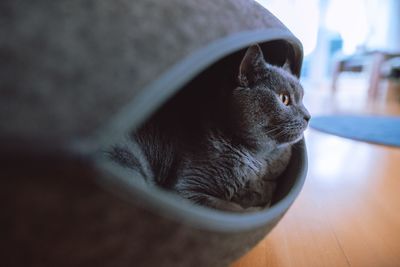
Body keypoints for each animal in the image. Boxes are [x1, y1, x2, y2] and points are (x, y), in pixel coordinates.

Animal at [108, 44, 310, 214]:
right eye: (284, 99)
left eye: (302, 98)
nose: (308, 116)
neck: (256, 158)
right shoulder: (186, 189)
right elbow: (232, 210)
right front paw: (252, 208)